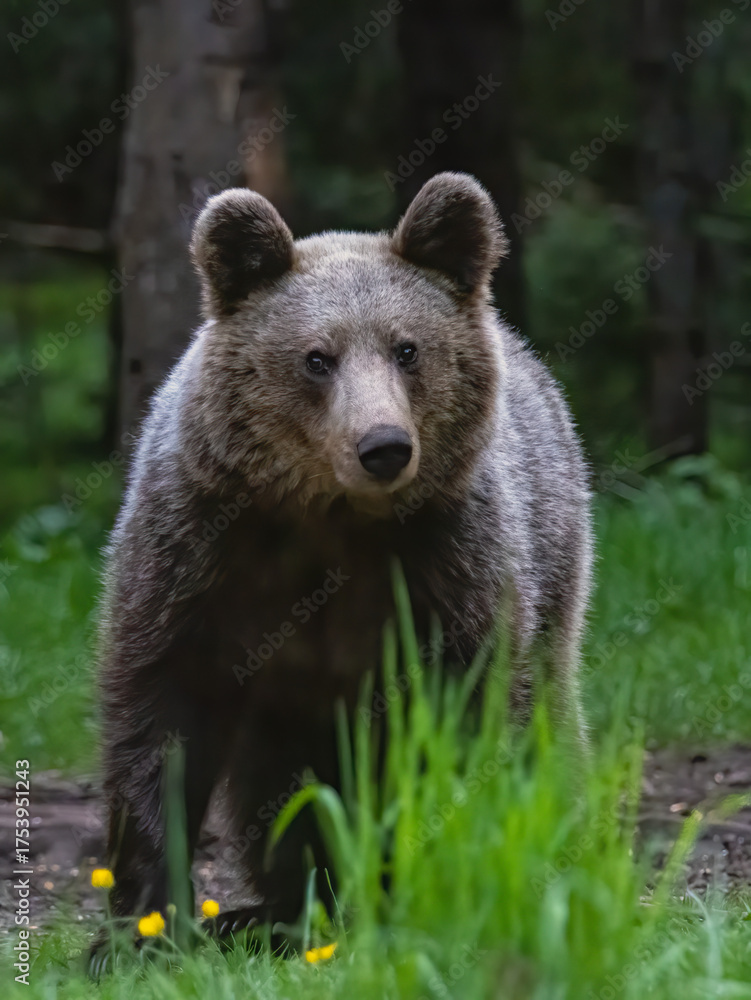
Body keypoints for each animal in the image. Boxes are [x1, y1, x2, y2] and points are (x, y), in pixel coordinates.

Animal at [97, 172, 593, 933]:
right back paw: (275, 907)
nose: (383, 446)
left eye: (407, 348)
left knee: (546, 715)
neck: (328, 518)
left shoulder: (449, 564)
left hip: (555, 561)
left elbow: (463, 715)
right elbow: (162, 709)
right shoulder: (197, 550)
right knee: (276, 784)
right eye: (316, 357)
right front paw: (145, 920)